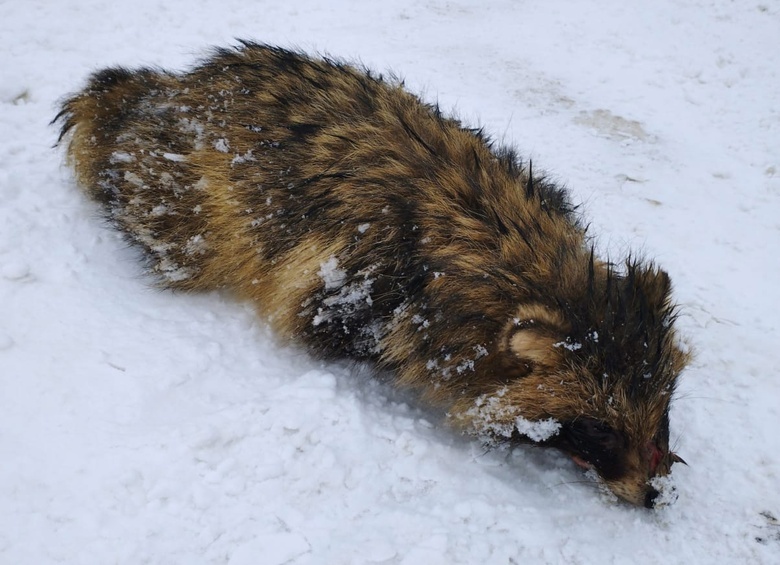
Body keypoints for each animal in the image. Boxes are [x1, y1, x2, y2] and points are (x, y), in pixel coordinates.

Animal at [56, 40, 688, 506]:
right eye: (601, 428)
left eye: (662, 413)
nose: (654, 496)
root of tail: (170, 89)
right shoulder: (350, 279)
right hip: (182, 198)